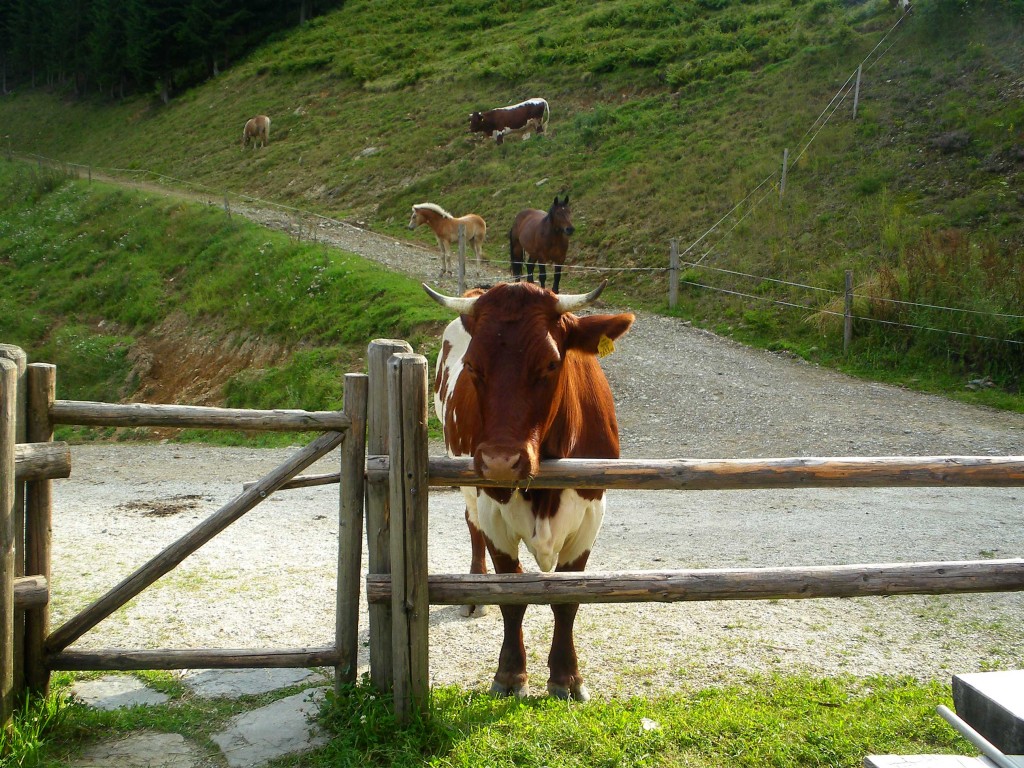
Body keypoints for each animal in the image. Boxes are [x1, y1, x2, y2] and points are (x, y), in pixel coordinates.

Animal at [423, 280, 630, 700]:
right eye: (472, 366)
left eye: (551, 363)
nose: (501, 461)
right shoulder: (494, 515)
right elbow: (512, 598)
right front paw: (510, 675)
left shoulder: (590, 516)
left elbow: (567, 600)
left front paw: (567, 677)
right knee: (470, 524)